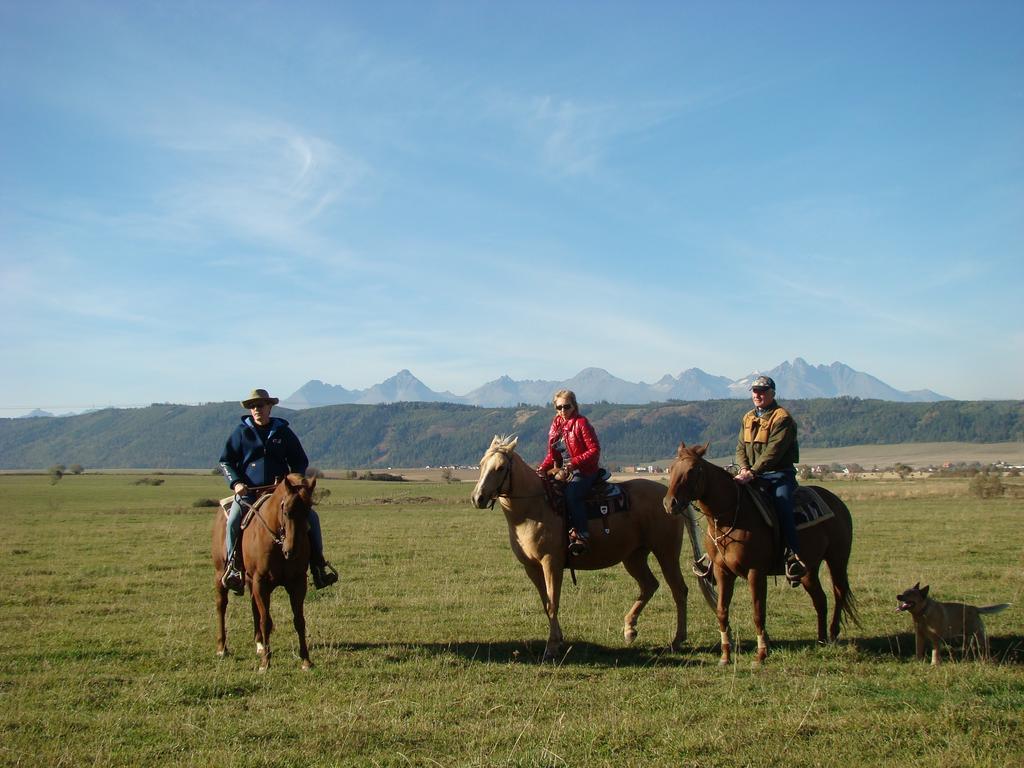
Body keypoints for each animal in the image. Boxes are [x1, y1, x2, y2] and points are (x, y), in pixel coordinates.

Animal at [211, 473, 315, 671]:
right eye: (286, 511)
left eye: (308, 511)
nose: (292, 551)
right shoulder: (262, 582)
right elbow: (265, 621)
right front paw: (265, 663)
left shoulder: (298, 582)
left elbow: (299, 620)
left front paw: (306, 660)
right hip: (221, 574)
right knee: (221, 605)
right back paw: (222, 648)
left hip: (251, 580)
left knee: (253, 606)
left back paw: (259, 644)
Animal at [468, 436, 716, 663]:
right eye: (481, 464)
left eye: (500, 468)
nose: (478, 498)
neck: (535, 507)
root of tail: (668, 495)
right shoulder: (532, 567)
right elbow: (546, 603)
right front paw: (558, 640)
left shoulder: (551, 563)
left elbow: (553, 603)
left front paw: (552, 647)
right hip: (634, 557)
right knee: (649, 585)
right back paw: (630, 629)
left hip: (666, 552)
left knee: (679, 590)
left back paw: (677, 640)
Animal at [659, 444, 860, 667]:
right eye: (671, 468)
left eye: (693, 469)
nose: (670, 503)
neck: (731, 517)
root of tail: (837, 502)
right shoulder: (722, 572)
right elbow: (722, 611)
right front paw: (725, 656)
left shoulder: (756, 572)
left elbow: (758, 613)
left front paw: (761, 654)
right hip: (809, 569)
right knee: (820, 600)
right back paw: (821, 640)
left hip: (837, 559)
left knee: (839, 592)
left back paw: (833, 634)